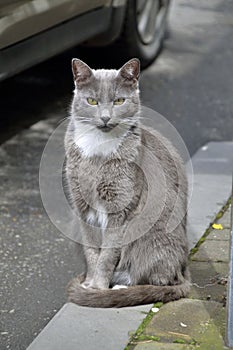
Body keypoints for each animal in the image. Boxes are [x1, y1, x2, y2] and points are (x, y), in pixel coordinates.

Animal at [64, 58, 189, 308]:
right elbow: (92, 250)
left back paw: (122, 286)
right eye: (92, 101)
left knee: (159, 278)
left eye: (119, 100)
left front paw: (98, 288)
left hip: (151, 230)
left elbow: (107, 254)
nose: (105, 118)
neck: (97, 148)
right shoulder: (82, 209)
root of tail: (184, 270)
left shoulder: (120, 208)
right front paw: (90, 283)